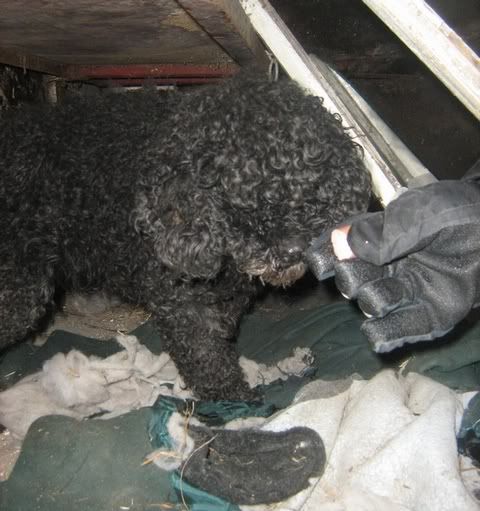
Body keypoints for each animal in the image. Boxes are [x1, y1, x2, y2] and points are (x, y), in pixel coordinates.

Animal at [0, 73, 371, 400]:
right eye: (233, 200)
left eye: (313, 185)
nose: (291, 251)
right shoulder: (180, 299)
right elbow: (206, 357)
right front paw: (235, 402)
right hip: (20, 293)